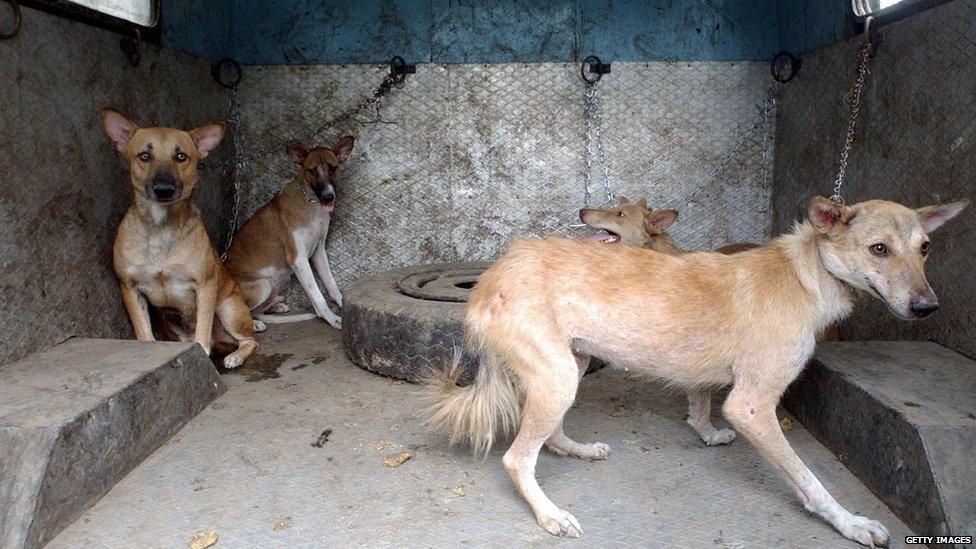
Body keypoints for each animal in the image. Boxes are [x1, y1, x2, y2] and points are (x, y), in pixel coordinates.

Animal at [101, 107, 258, 368]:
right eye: (144, 156)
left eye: (181, 156)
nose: (164, 189)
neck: (160, 226)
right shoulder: (130, 288)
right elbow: (144, 332)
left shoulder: (205, 286)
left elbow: (202, 332)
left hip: (229, 308)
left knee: (250, 341)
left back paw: (235, 357)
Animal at [225, 137, 354, 330]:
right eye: (312, 170)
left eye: (333, 168)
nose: (328, 197)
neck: (311, 204)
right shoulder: (298, 259)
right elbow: (317, 295)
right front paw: (332, 318)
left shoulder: (319, 251)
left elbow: (331, 283)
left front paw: (342, 304)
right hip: (261, 285)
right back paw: (254, 323)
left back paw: (275, 306)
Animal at [428, 195, 968, 540]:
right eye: (879, 249)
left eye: (924, 248)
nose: (928, 307)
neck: (807, 276)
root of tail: (492, 274)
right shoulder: (752, 406)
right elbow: (810, 479)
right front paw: (849, 522)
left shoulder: (710, 381)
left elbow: (699, 403)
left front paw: (705, 433)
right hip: (558, 376)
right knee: (517, 458)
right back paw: (549, 514)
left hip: (572, 367)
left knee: (550, 434)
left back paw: (577, 450)